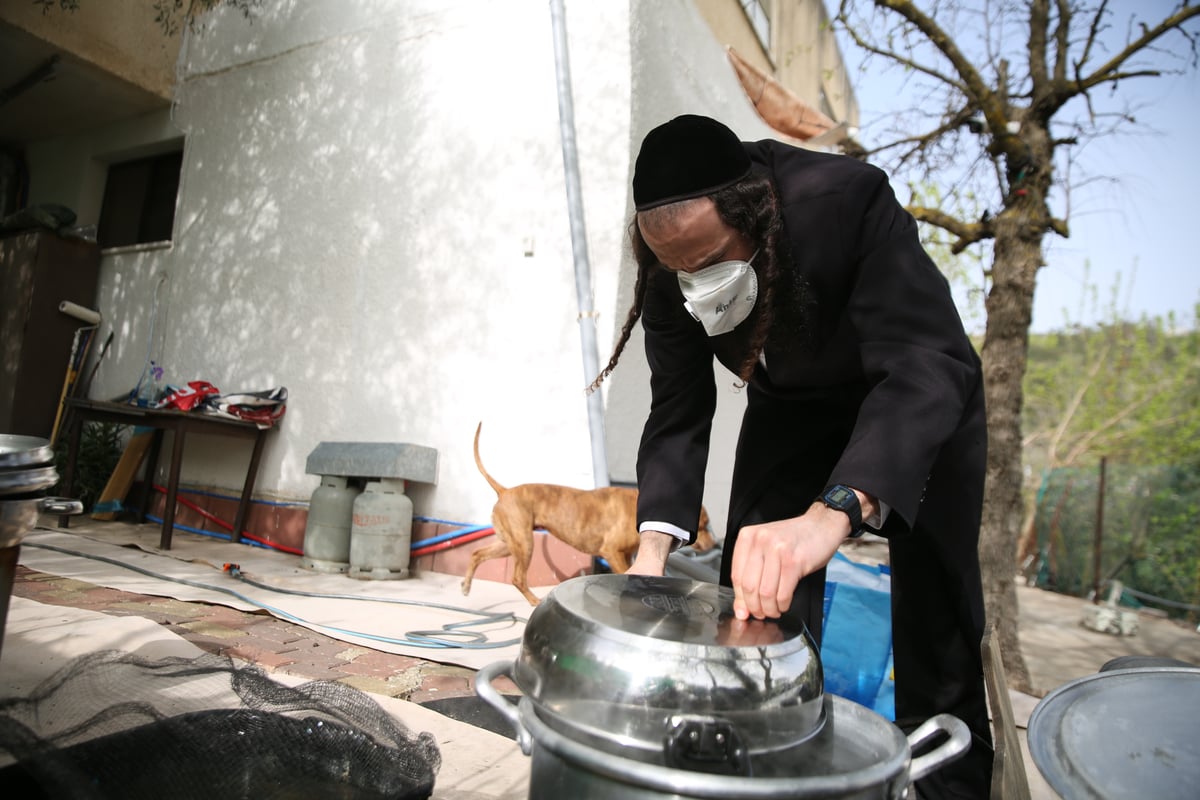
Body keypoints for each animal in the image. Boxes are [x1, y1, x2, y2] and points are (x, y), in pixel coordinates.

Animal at [463, 422, 710, 604]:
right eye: (704, 526)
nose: (713, 543)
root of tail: (505, 491)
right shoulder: (612, 552)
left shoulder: (626, 555)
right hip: (524, 544)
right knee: (517, 578)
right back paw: (534, 602)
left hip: (509, 543)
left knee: (477, 554)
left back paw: (466, 585)